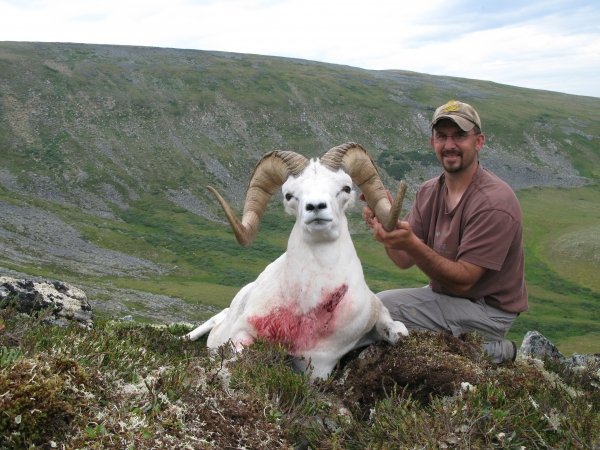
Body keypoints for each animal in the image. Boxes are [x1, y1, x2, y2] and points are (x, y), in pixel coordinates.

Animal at [185, 142, 410, 378]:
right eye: (289, 195)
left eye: (346, 188)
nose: (316, 207)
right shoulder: (243, 331)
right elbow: (237, 356)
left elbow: (397, 330)